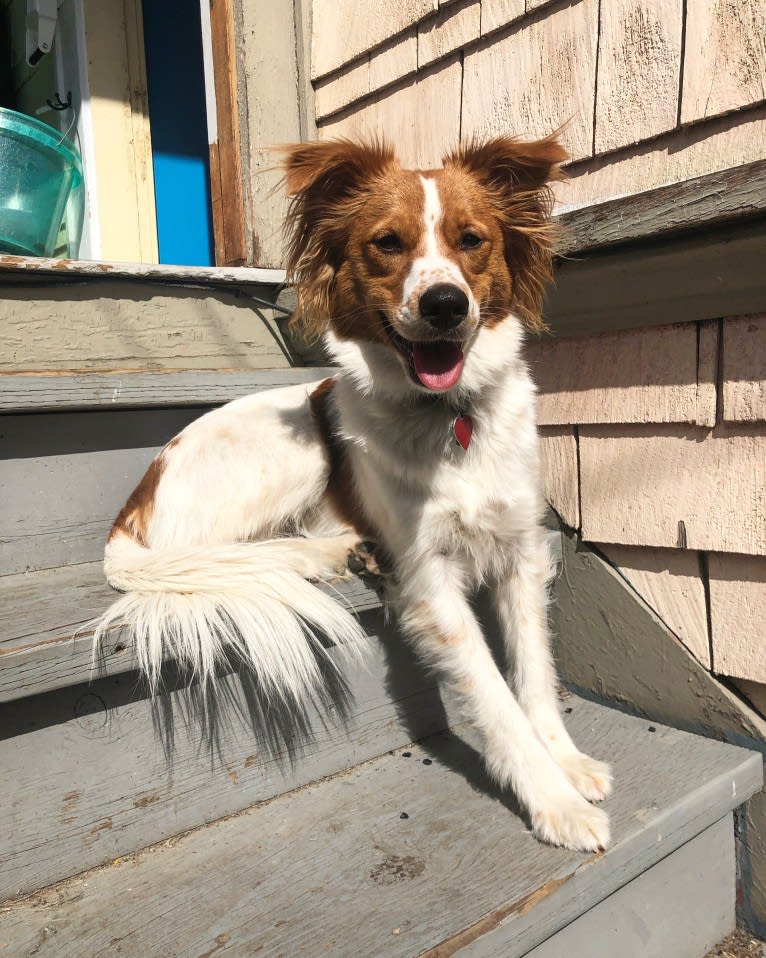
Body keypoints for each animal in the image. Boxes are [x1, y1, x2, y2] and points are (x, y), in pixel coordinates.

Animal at [94, 135, 612, 856]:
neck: (449, 417)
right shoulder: (431, 582)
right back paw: (329, 554)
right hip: (299, 446)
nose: (445, 304)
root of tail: (139, 493)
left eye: (471, 240)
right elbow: (495, 696)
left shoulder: (522, 551)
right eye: (387, 243)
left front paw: (569, 764)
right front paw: (554, 802)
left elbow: (534, 673)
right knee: (219, 553)